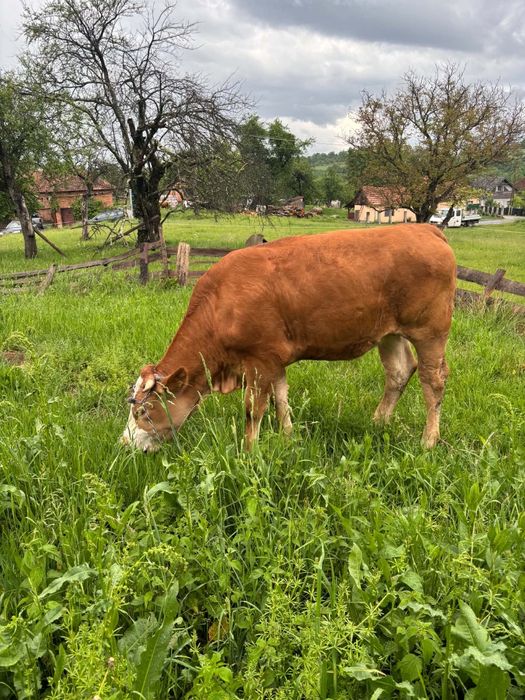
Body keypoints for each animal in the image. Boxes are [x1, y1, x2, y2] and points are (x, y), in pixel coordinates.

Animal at [122, 224, 456, 453]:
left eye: (142, 411)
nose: (124, 444)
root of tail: (423, 228)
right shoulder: (274, 361)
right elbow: (281, 399)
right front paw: (287, 438)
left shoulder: (258, 361)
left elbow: (253, 410)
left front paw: (249, 452)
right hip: (391, 333)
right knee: (399, 372)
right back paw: (378, 422)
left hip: (430, 332)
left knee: (433, 381)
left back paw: (428, 440)